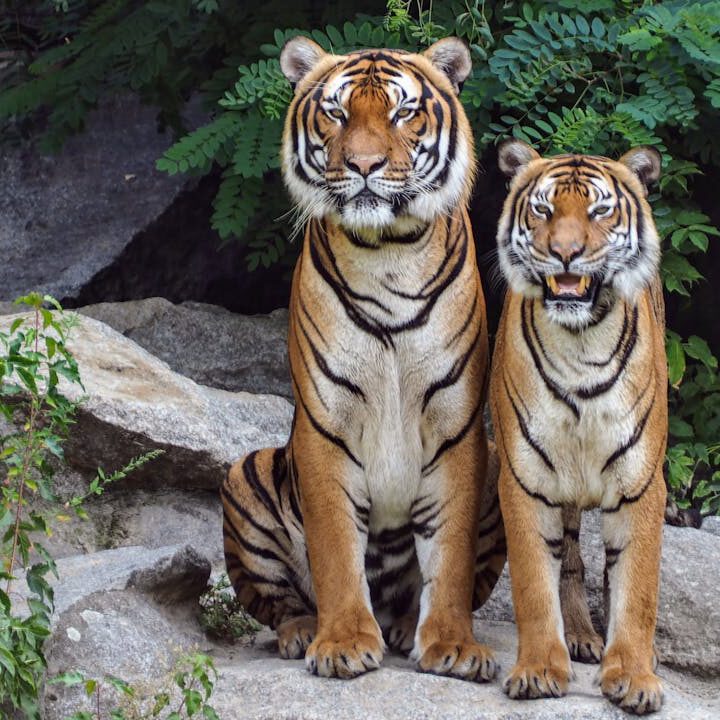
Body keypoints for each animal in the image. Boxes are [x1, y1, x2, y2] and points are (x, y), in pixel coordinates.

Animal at [221, 36, 505, 681]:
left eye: (403, 113)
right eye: (337, 112)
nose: (365, 165)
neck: (388, 252)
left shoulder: (457, 428)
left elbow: (449, 557)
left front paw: (452, 644)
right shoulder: (325, 425)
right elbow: (334, 548)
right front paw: (344, 642)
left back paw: (403, 627)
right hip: (245, 472)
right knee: (278, 602)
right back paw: (304, 631)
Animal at [489, 139, 668, 714]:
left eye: (599, 211)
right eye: (544, 210)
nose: (565, 253)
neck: (581, 344)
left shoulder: (642, 485)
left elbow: (636, 589)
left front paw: (633, 675)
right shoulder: (524, 480)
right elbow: (532, 582)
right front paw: (539, 669)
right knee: (568, 560)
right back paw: (581, 637)